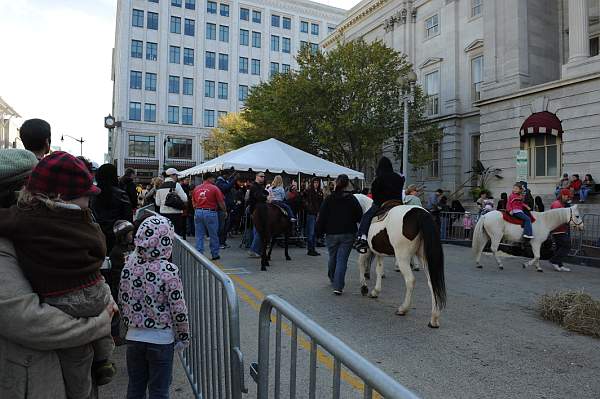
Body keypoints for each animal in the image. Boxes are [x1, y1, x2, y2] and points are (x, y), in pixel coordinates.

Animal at [354, 194, 448, 328]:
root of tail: (419, 213)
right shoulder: (379, 253)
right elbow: (379, 269)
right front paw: (375, 291)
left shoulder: (366, 249)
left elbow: (361, 264)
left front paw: (364, 287)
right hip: (424, 258)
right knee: (432, 283)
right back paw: (434, 318)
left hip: (402, 256)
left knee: (410, 280)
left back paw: (403, 309)